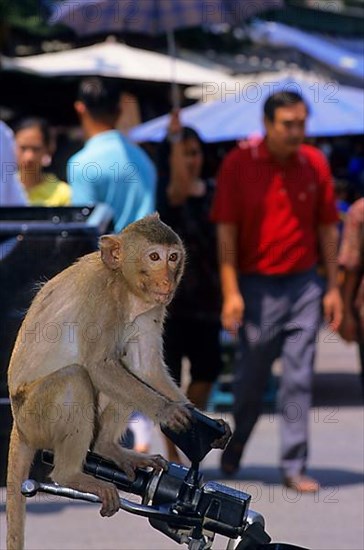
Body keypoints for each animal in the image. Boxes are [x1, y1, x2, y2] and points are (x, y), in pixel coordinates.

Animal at [6, 215, 230, 550]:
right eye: (154, 257)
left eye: (173, 257)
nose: (167, 280)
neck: (125, 287)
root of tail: (17, 424)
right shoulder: (102, 299)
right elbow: (100, 366)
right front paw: (167, 412)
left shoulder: (153, 307)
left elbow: (146, 368)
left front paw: (207, 422)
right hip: (35, 418)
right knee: (76, 378)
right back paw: (70, 475)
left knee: (126, 370)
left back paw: (108, 447)